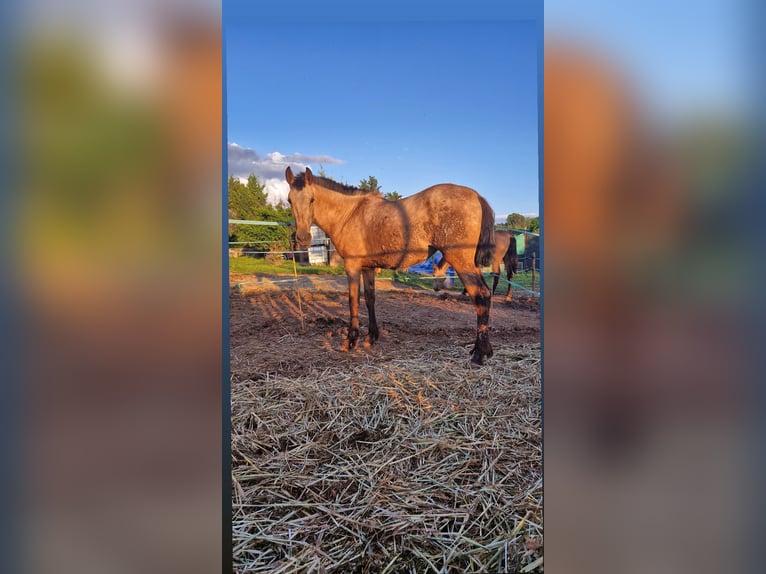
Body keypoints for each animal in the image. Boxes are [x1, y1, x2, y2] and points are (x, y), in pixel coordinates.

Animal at [285, 166, 496, 364]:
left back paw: (479, 354)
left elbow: (353, 301)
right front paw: (371, 337)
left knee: (480, 295)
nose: (302, 238)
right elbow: (370, 299)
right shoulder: (368, 268)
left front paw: (351, 341)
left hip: (461, 261)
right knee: (485, 294)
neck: (350, 213)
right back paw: (482, 350)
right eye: (289, 200)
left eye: (312, 199)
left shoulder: (352, 266)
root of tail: (476, 196)